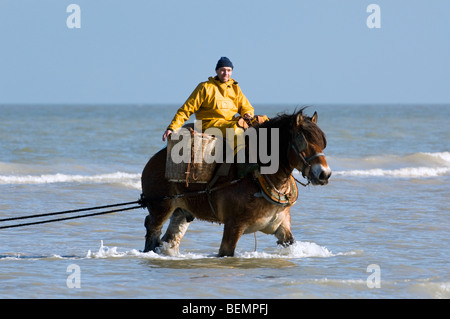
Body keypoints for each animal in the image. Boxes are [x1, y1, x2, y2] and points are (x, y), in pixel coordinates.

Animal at [141, 110, 330, 258]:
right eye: (302, 141)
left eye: (322, 143)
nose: (324, 174)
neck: (258, 178)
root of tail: (153, 159)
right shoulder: (233, 226)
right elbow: (226, 252)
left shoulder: (282, 227)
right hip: (161, 207)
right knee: (152, 229)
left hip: (181, 211)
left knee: (170, 238)